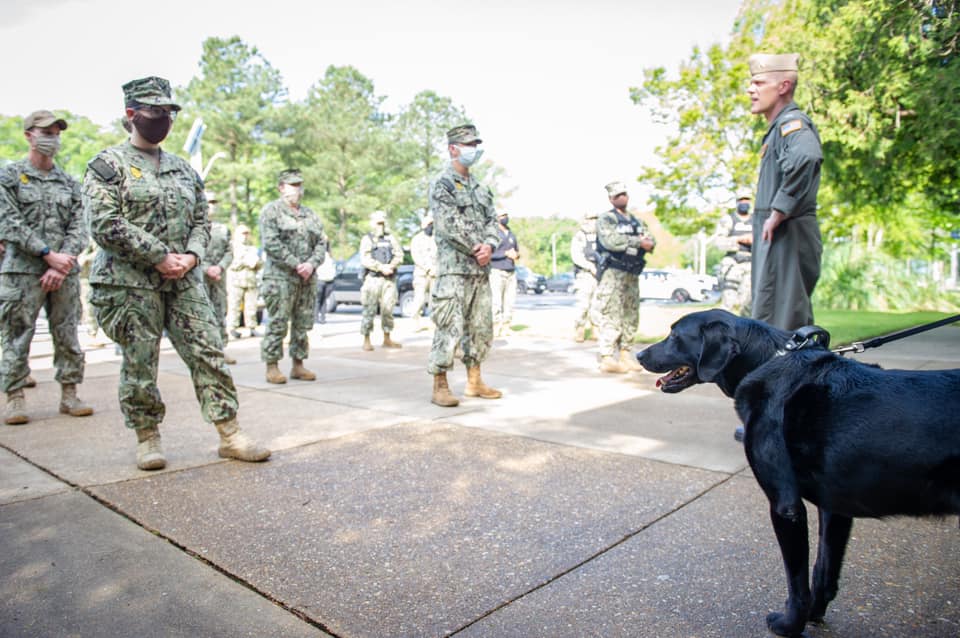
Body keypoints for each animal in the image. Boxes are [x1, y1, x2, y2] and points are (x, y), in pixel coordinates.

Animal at [636, 308, 960, 636]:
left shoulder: (786, 505)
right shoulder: (835, 507)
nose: (638, 354)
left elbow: (797, 581)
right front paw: (814, 615)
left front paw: (789, 624)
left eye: (675, 335)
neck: (768, 359)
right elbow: (823, 570)